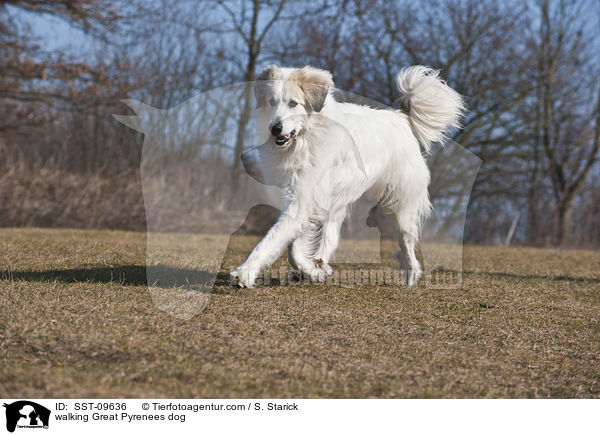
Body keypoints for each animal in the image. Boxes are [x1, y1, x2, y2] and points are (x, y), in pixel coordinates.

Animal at [230, 64, 464, 288]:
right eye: (271, 102)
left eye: (293, 103)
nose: (275, 128)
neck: (307, 137)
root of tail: (401, 117)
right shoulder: (307, 200)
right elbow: (294, 245)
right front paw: (311, 270)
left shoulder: (304, 202)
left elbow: (273, 240)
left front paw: (245, 273)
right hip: (338, 204)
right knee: (330, 239)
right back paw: (318, 266)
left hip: (398, 208)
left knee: (406, 244)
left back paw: (410, 276)